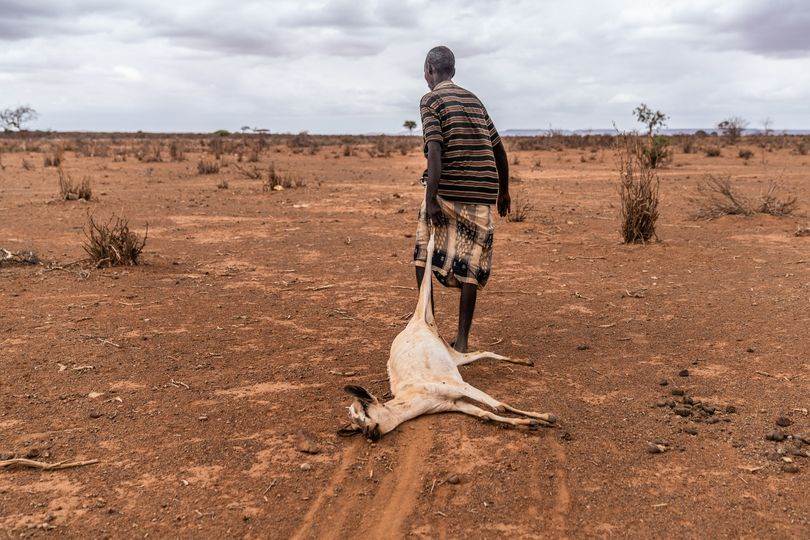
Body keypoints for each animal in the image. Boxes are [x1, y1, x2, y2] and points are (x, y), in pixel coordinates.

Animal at [340, 232, 556, 438]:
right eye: (357, 425)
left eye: (365, 408)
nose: (369, 433)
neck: (413, 397)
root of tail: (415, 322)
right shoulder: (455, 404)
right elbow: (488, 413)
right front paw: (532, 422)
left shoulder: (458, 386)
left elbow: (501, 405)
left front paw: (546, 417)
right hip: (454, 357)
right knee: (483, 353)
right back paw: (525, 361)